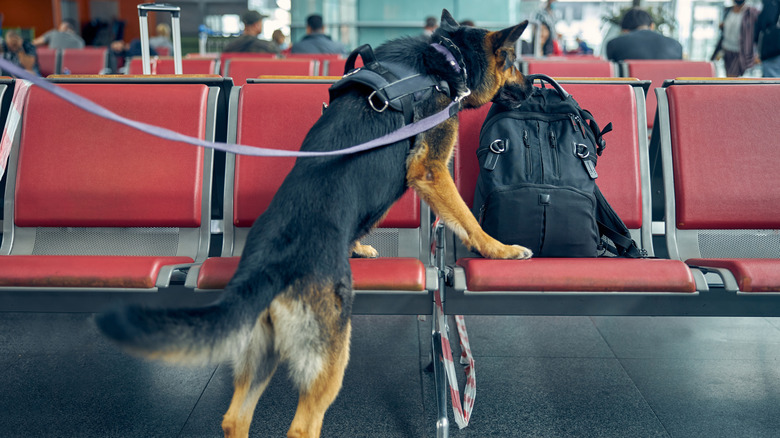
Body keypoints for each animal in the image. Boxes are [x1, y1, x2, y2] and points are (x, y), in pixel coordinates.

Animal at [97, 10, 532, 438]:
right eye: (513, 62)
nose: (532, 88)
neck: (445, 57)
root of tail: (269, 266)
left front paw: (358, 246)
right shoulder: (431, 169)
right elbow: (466, 218)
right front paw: (500, 249)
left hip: (262, 349)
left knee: (234, 418)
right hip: (330, 352)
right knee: (303, 426)